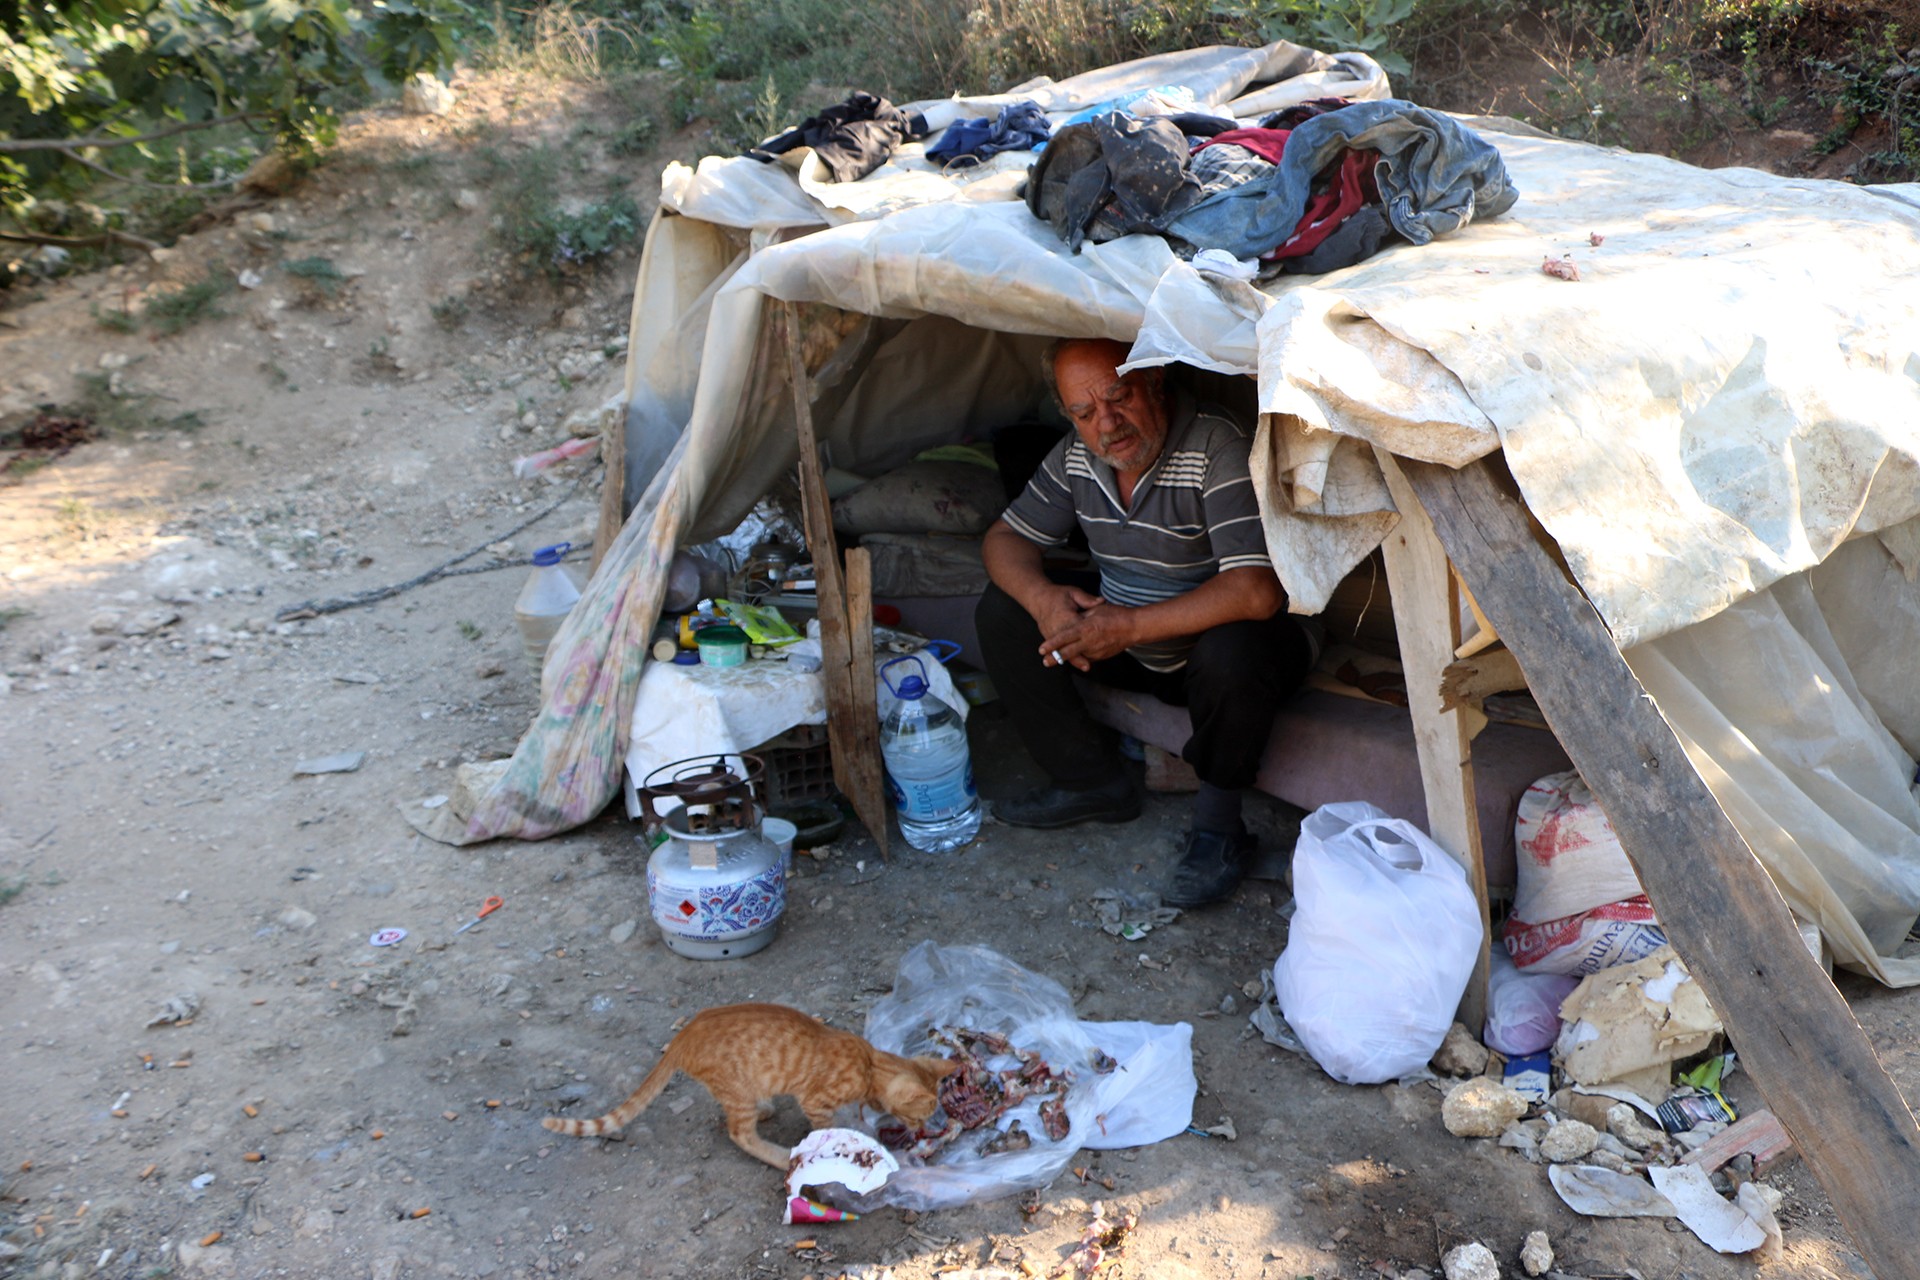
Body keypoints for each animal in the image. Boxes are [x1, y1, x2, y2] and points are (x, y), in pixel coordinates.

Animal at [545, 997, 956, 1174]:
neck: (869, 1064)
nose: (924, 1129)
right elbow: (825, 1126)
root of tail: (685, 1034)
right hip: (737, 1090)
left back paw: (766, 1108)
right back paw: (779, 1155)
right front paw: (840, 1138)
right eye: (920, 1116)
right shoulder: (815, 1101)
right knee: (739, 1133)